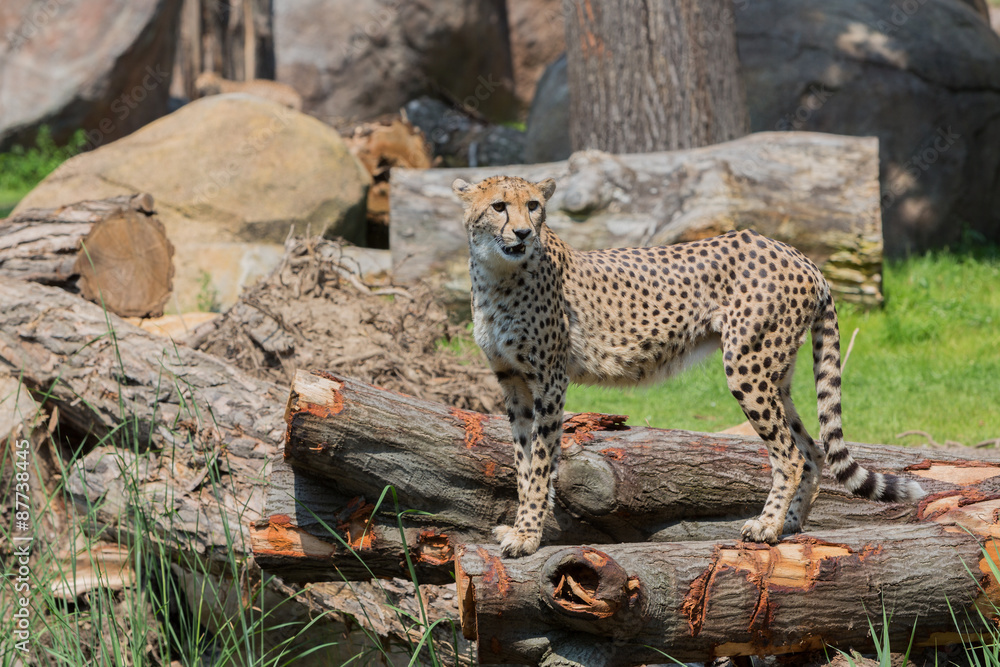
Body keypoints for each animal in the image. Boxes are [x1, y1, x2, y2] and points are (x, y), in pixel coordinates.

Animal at [453, 174, 926, 558]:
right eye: (499, 206)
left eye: (533, 205)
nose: (522, 232)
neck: (497, 273)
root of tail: (797, 253)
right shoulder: (515, 384)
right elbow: (523, 461)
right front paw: (523, 526)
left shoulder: (550, 381)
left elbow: (538, 463)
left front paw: (528, 536)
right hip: (776, 374)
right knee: (811, 448)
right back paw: (789, 526)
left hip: (748, 367)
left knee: (790, 454)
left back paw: (767, 526)